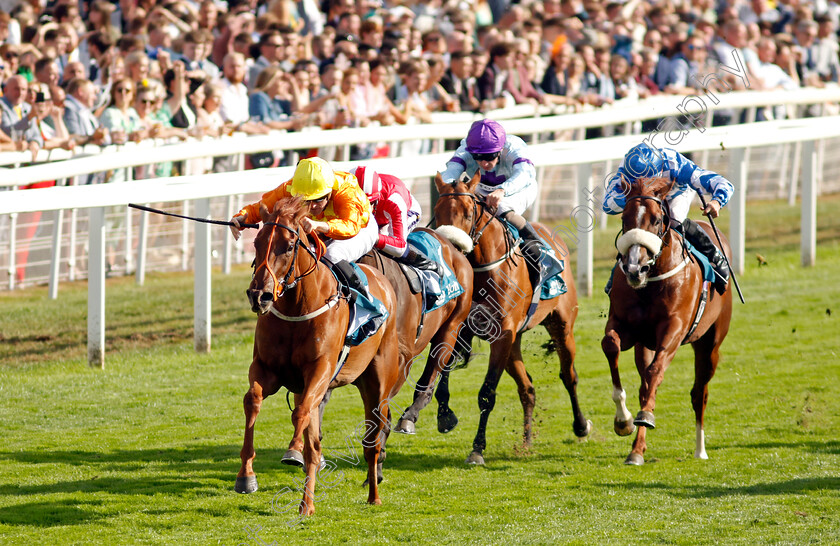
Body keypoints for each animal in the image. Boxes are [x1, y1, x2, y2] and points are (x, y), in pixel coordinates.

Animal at [235, 197, 406, 516]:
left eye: (289, 245)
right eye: (257, 242)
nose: (259, 295)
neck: (297, 307)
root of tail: (383, 282)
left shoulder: (320, 370)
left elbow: (300, 414)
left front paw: (293, 450)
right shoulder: (266, 369)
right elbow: (253, 401)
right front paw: (246, 477)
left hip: (377, 383)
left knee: (372, 442)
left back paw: (372, 494)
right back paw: (308, 502)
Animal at [426, 172, 592, 462]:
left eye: (468, 213)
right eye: (437, 211)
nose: (451, 247)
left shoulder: (502, 335)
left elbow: (487, 393)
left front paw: (477, 448)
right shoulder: (466, 329)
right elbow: (442, 375)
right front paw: (445, 416)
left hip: (561, 327)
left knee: (569, 376)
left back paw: (581, 426)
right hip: (514, 344)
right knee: (527, 389)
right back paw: (526, 442)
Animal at [600, 177, 732, 464]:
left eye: (657, 219)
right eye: (624, 219)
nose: (634, 269)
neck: (650, 282)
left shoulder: (674, 329)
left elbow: (656, 372)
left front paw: (643, 417)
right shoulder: (626, 327)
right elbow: (611, 346)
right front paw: (623, 420)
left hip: (710, 344)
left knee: (699, 393)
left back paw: (700, 449)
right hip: (644, 346)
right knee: (646, 385)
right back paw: (637, 449)